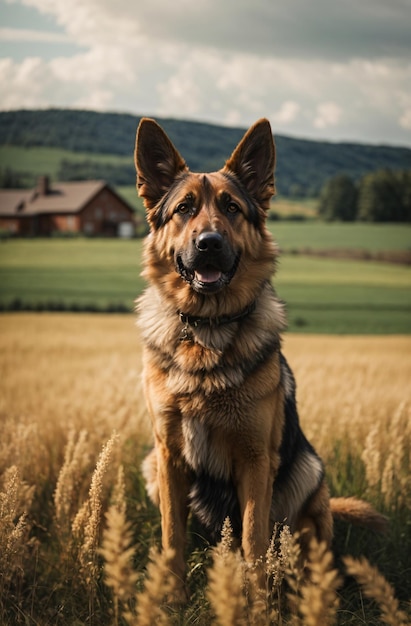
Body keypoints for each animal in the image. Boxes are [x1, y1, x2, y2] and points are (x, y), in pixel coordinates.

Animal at [134, 118, 386, 600]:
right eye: (183, 209)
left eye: (231, 208)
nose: (209, 243)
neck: (207, 332)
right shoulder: (169, 456)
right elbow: (172, 538)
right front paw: (170, 600)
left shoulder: (254, 461)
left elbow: (253, 543)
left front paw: (255, 606)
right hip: (153, 467)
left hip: (307, 470)